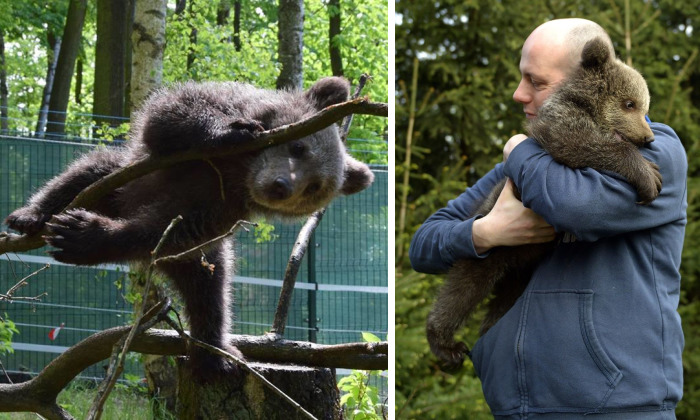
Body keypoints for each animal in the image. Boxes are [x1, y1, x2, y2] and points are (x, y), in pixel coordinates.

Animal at [4, 76, 375, 380]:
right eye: (298, 146)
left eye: (314, 187)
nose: (281, 186)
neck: (238, 172)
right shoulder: (194, 149)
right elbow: (174, 112)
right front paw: (231, 131)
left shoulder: (215, 209)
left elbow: (162, 234)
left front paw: (83, 236)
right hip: (121, 180)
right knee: (86, 172)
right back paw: (32, 215)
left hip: (202, 257)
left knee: (210, 290)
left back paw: (216, 353)